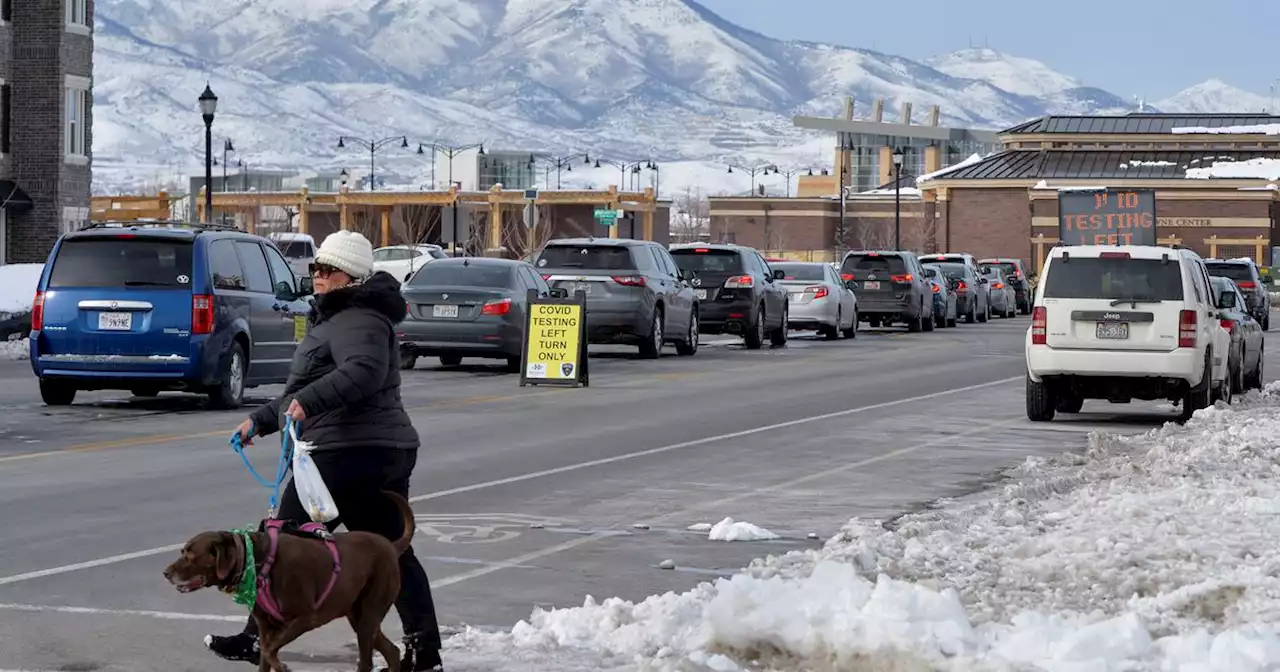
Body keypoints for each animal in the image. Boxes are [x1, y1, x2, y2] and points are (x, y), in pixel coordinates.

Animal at [163, 488, 414, 665]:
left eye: (191, 556)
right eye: (182, 551)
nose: (165, 573)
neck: (258, 561)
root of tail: (391, 546)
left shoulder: (305, 618)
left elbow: (269, 650)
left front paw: (282, 667)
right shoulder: (265, 626)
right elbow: (265, 651)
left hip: (369, 612)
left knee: (368, 661)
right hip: (358, 614)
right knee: (392, 651)